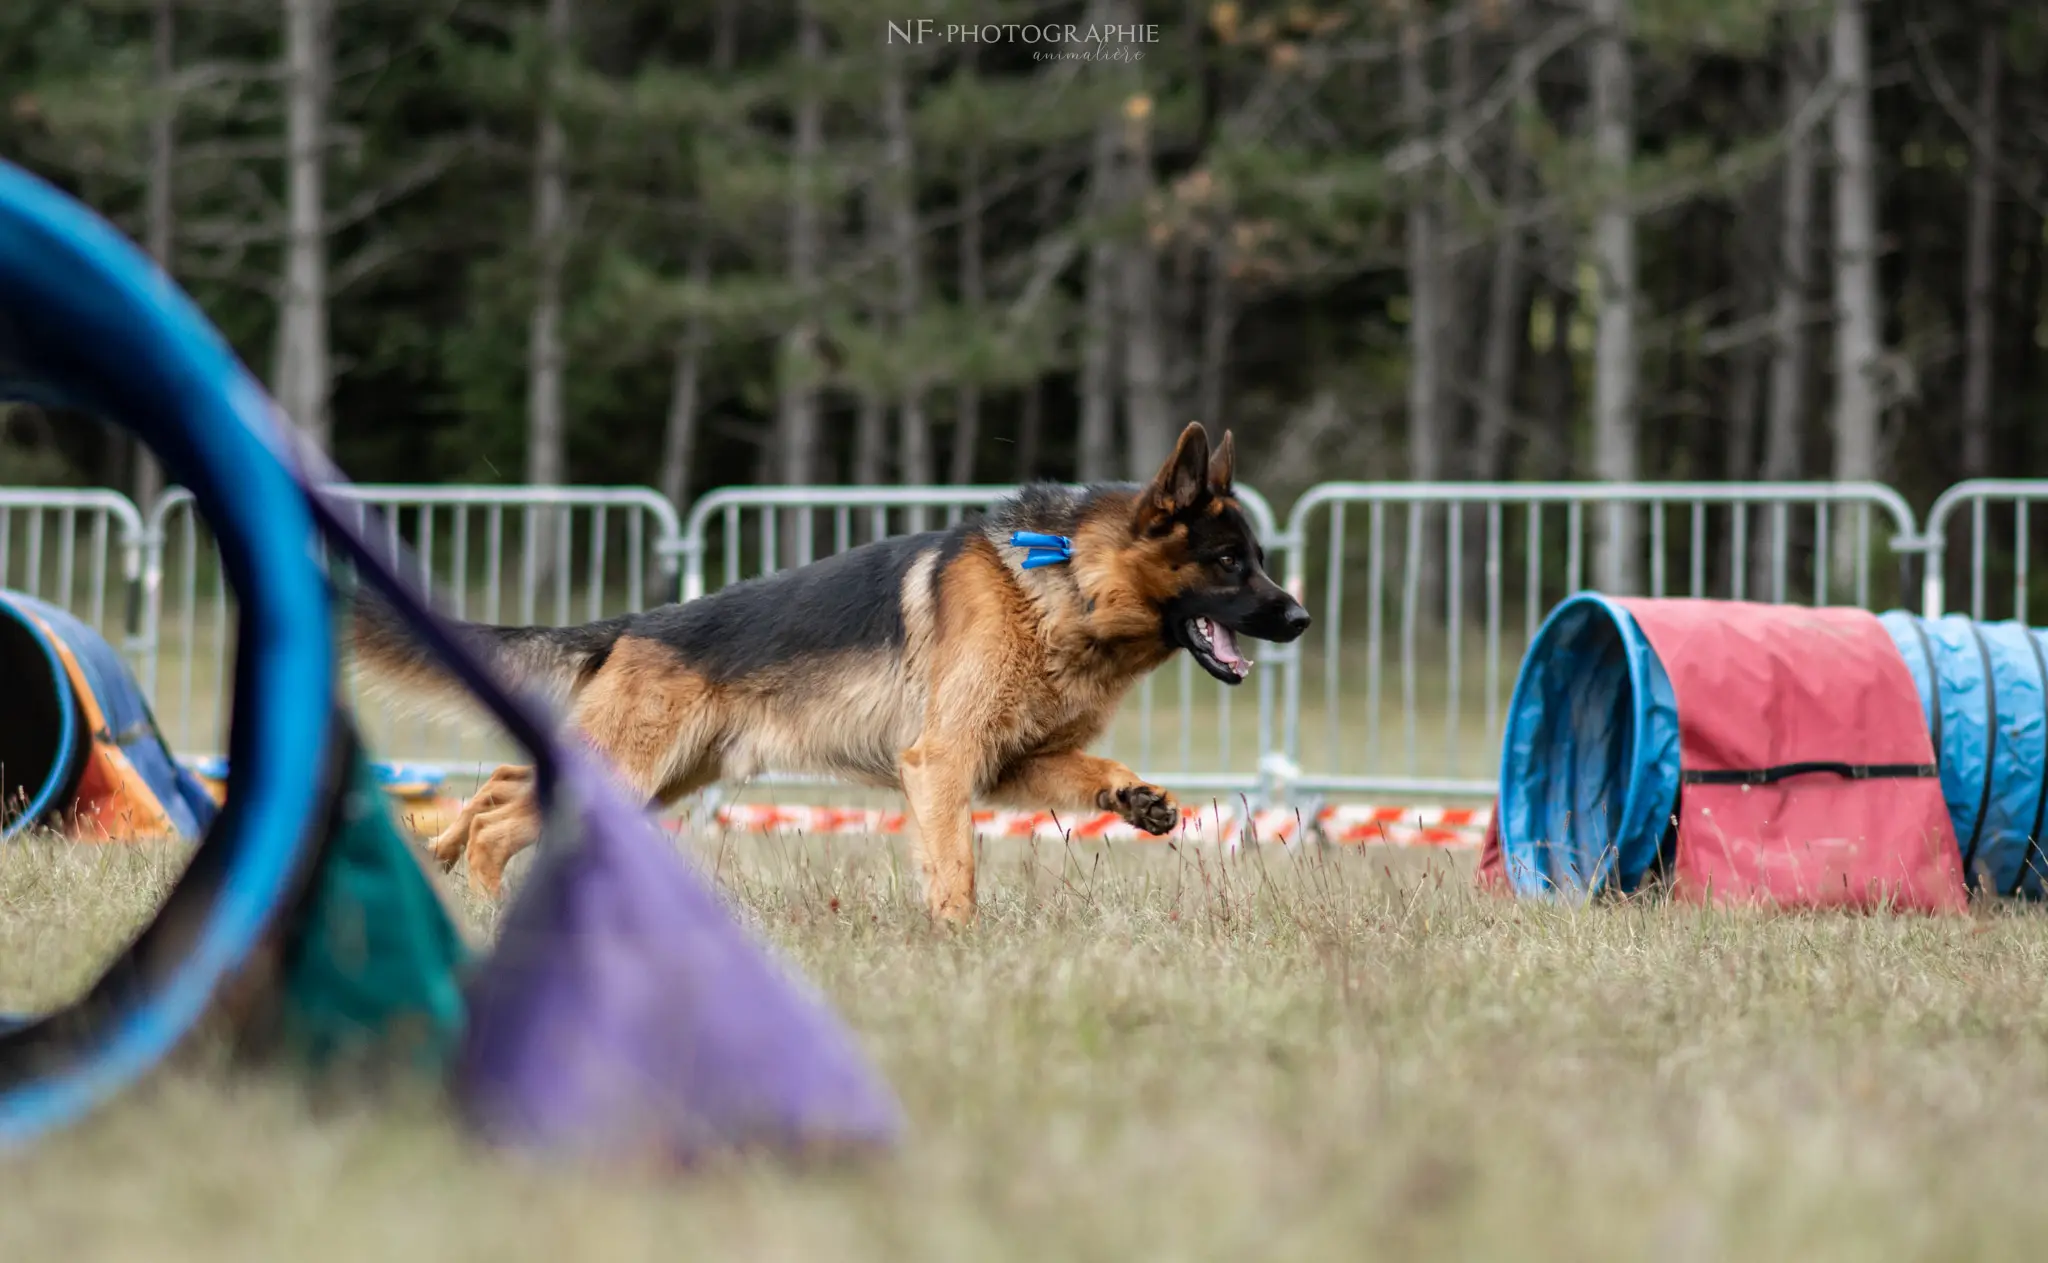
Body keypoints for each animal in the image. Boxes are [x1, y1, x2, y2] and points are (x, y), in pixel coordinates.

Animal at [356, 419, 1310, 921]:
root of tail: (635, 624)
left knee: (499, 783)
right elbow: (955, 867)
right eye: (1231, 562)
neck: (1071, 583)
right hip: (629, 772)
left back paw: (444, 854)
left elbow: (1093, 769)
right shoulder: (943, 764)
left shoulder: (1012, 761)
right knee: (498, 819)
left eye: (1260, 559)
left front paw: (1138, 797)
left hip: (654, 778)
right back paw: (485, 908)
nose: (1300, 617)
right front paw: (959, 947)